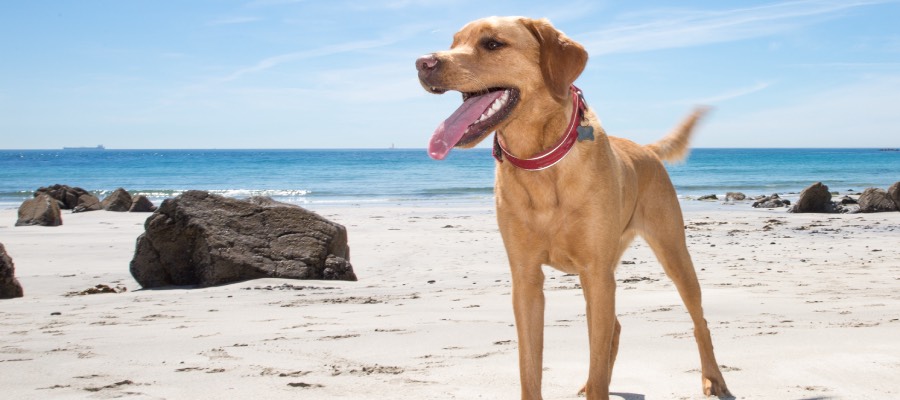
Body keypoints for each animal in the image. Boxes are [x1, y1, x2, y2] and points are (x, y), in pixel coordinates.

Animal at [414, 16, 732, 400]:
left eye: (492, 44)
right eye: (454, 42)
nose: (423, 63)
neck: (540, 161)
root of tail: (647, 150)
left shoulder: (595, 272)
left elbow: (596, 360)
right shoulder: (526, 279)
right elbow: (530, 369)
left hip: (672, 252)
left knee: (699, 321)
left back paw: (713, 378)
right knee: (614, 328)